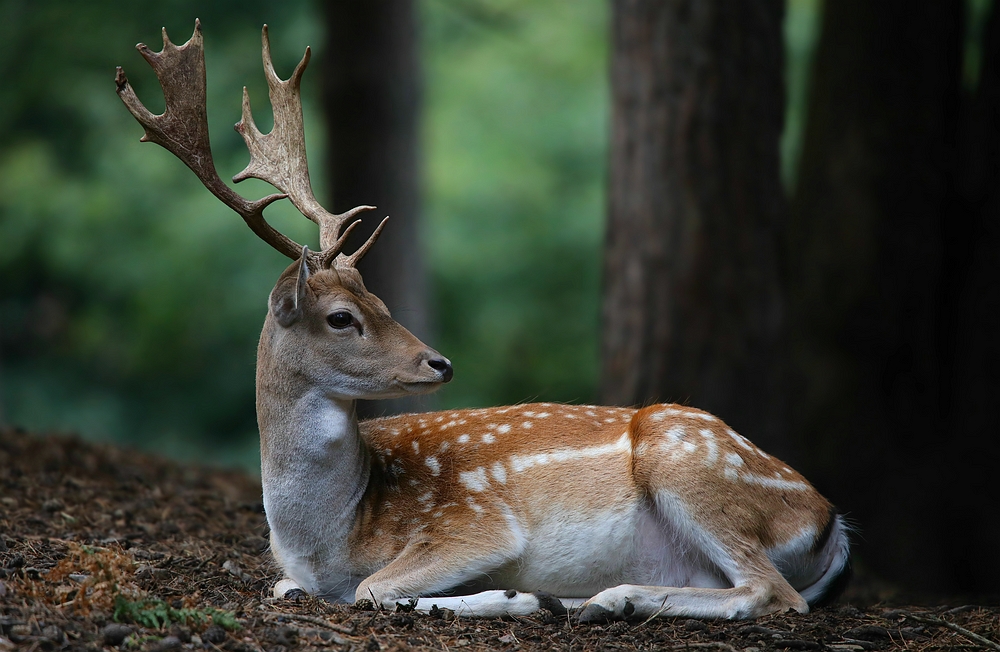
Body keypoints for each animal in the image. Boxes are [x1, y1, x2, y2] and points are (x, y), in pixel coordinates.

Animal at [117, 21, 852, 620]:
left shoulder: (476, 523)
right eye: (343, 317)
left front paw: (513, 595)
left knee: (771, 593)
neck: (327, 537)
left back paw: (603, 598)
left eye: (383, 305)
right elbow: (291, 587)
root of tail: (831, 522)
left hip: (690, 462)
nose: (439, 362)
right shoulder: (296, 573)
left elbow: (373, 589)